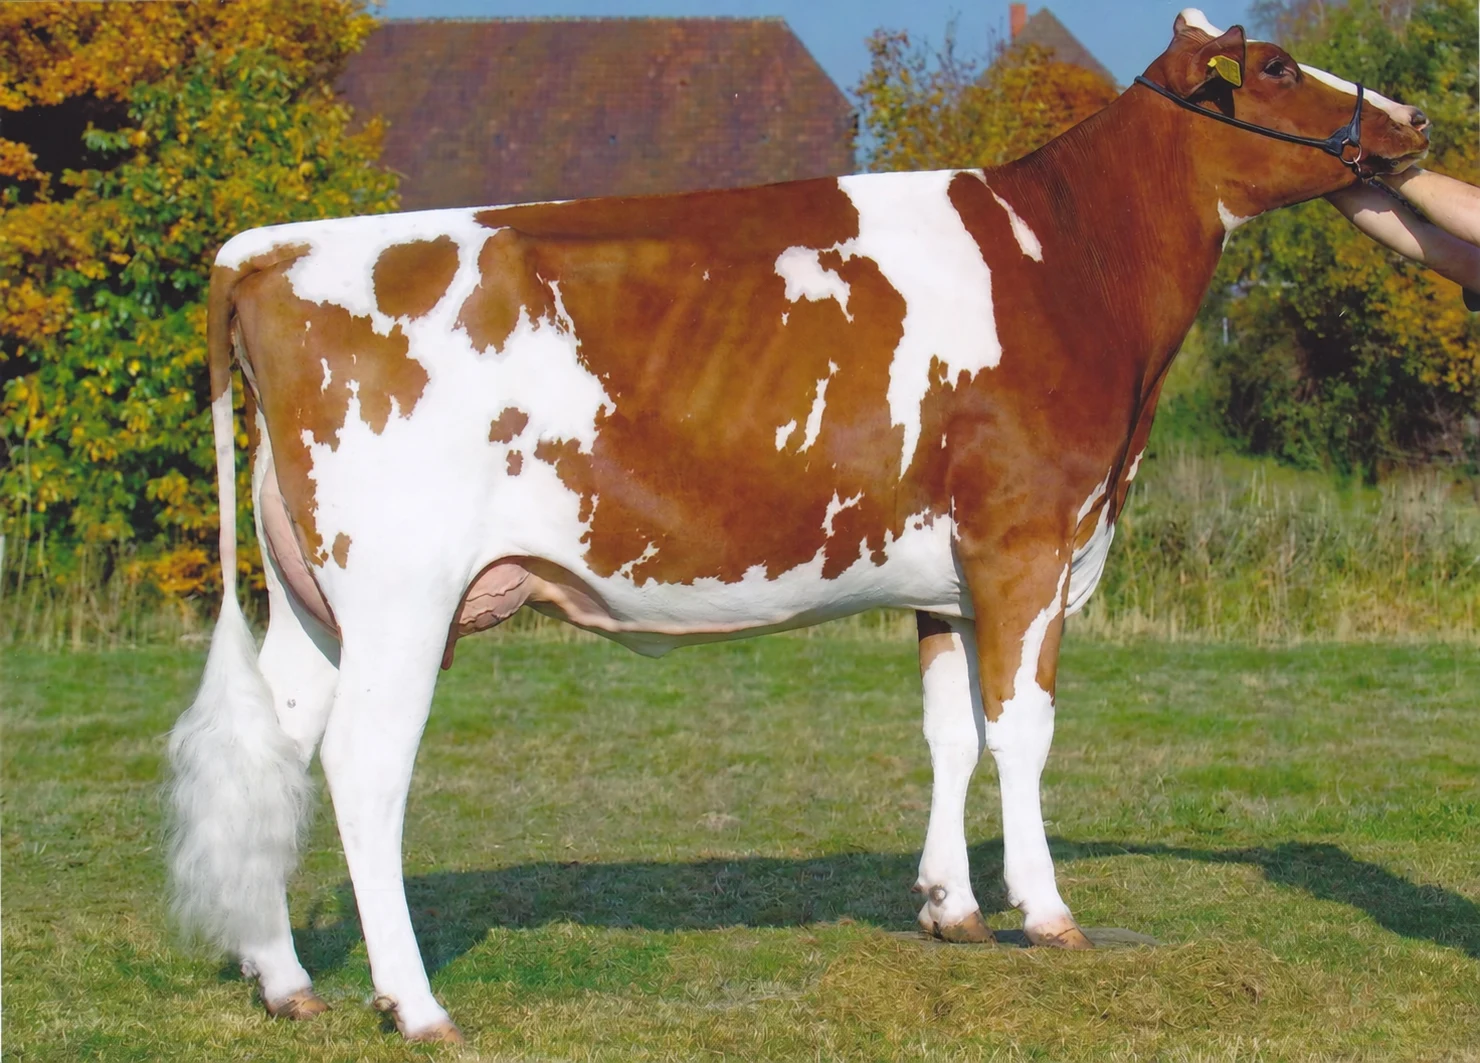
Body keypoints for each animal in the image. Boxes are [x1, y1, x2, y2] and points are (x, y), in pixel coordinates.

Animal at [166, 10, 1431, 1043]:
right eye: (1275, 65)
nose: (1414, 119)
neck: (1070, 259)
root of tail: (269, 247)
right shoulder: (1027, 540)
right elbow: (1020, 730)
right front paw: (1047, 911)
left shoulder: (943, 575)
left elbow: (948, 732)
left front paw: (950, 908)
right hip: (402, 592)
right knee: (363, 765)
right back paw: (415, 1002)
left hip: (313, 601)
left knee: (281, 746)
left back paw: (287, 981)